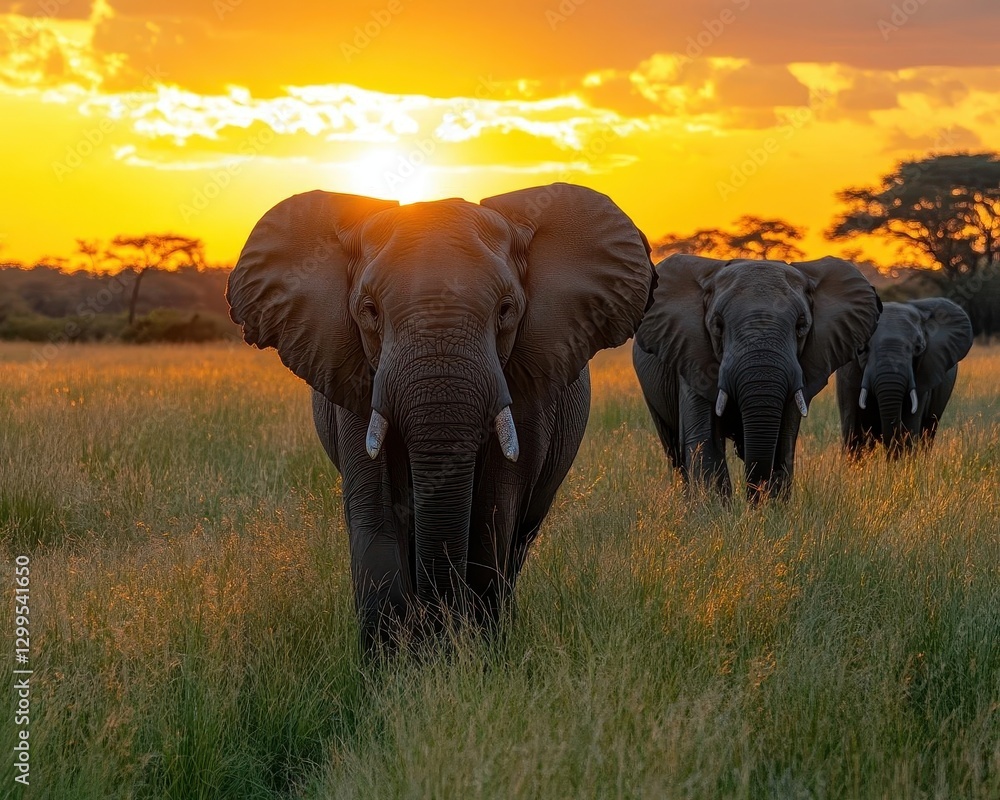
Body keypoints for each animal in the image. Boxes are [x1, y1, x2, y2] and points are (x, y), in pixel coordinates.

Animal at [226, 183, 654, 651]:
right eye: (369, 310)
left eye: (506, 310)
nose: (440, 634)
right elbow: (377, 514)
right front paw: (394, 665)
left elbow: (492, 516)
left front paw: (476, 653)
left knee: (520, 537)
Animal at [633, 255, 881, 500]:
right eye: (717, 326)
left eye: (801, 326)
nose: (754, 497)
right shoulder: (692, 354)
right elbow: (705, 441)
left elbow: (783, 443)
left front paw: (770, 508)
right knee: (675, 453)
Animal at [836, 298, 973, 456]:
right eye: (862, 349)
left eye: (918, 348)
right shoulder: (848, 374)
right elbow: (853, 431)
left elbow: (910, 425)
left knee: (928, 431)